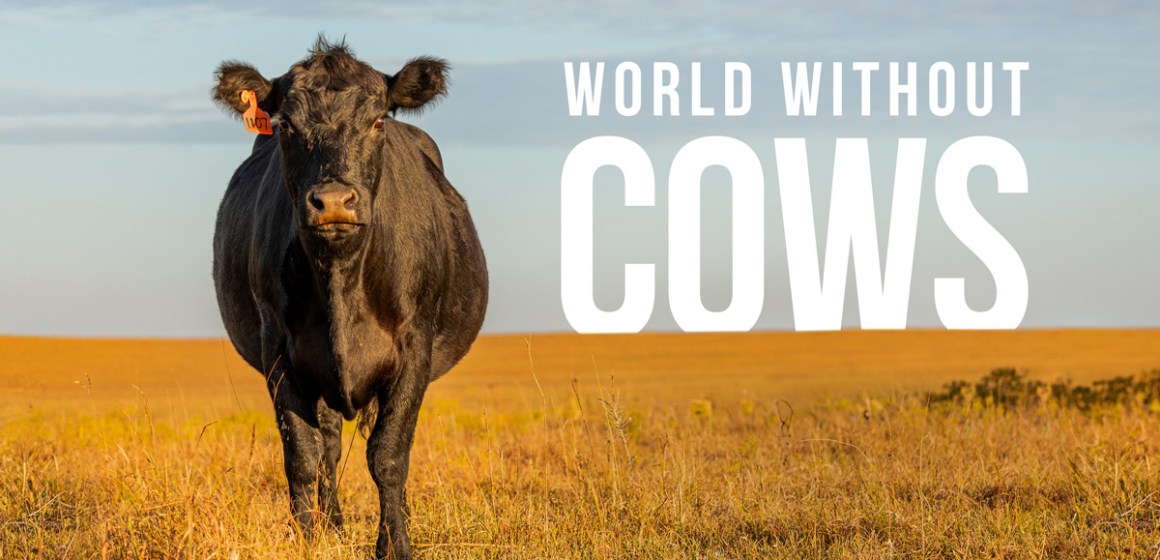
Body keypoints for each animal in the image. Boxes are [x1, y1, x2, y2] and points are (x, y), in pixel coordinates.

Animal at [210, 38, 488, 560]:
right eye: (286, 124)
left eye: (377, 120)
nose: (334, 201)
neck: (341, 279)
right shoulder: (278, 349)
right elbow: (303, 454)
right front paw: (309, 537)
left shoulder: (414, 349)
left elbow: (389, 454)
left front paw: (395, 544)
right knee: (329, 447)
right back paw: (332, 525)